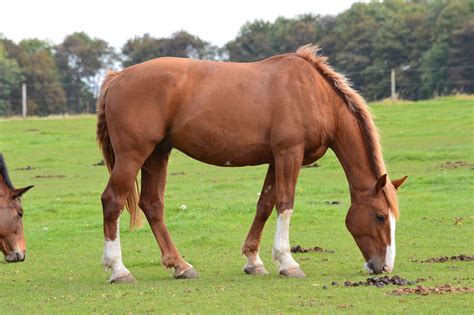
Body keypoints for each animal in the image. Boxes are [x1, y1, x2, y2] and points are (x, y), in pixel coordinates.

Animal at [96, 44, 408, 284]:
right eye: (380, 216)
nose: (384, 267)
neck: (314, 95)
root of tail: (118, 76)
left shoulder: (275, 158)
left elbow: (265, 205)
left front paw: (254, 260)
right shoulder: (289, 154)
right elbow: (285, 203)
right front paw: (287, 262)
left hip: (158, 153)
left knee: (152, 205)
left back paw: (180, 265)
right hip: (133, 154)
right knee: (112, 201)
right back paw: (119, 270)